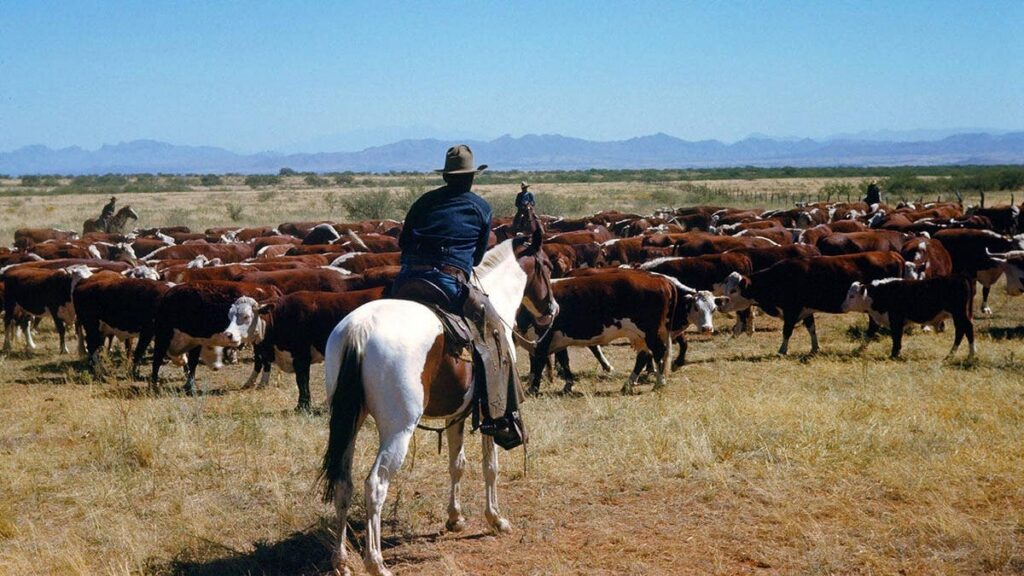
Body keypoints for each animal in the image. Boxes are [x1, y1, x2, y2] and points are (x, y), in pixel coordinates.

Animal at [150, 281, 281, 392]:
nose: (216, 367)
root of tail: (271, 288)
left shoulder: (171, 337)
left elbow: (163, 360)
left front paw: (155, 385)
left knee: (264, 360)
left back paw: (261, 383)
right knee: (260, 360)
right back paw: (250, 383)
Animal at [721, 251, 905, 355]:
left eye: (733, 290)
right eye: (726, 287)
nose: (722, 304)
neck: (779, 277)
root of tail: (893, 254)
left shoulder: (792, 310)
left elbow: (787, 331)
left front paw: (782, 350)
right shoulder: (806, 311)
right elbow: (812, 329)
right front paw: (815, 348)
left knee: (874, 327)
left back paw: (861, 348)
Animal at [842, 276, 975, 359]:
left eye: (852, 296)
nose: (842, 307)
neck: (881, 293)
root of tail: (960, 279)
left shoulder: (896, 320)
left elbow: (896, 338)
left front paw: (894, 355)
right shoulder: (877, 320)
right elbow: (868, 335)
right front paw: (858, 350)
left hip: (959, 314)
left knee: (967, 329)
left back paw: (970, 356)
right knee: (961, 331)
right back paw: (951, 355)